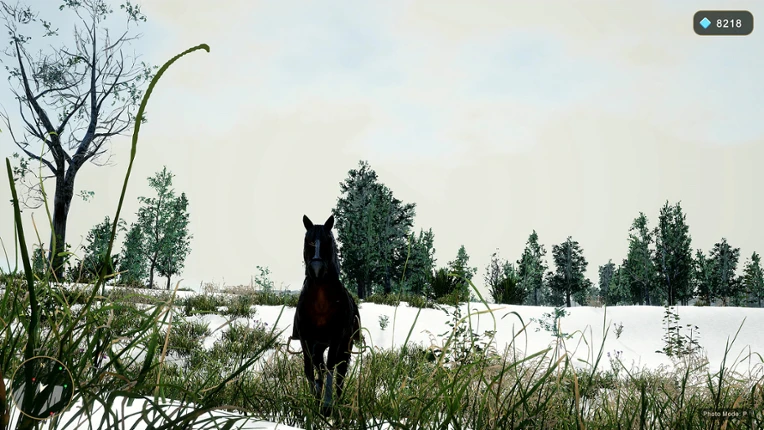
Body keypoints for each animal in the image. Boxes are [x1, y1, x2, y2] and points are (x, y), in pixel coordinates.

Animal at [292, 214, 361, 415]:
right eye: (308, 241)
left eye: (327, 241)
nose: (317, 270)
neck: (321, 301)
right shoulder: (306, 339)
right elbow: (309, 369)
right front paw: (314, 400)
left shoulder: (336, 339)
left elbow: (330, 367)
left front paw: (327, 405)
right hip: (319, 345)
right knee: (319, 366)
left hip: (345, 346)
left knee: (340, 374)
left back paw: (336, 402)